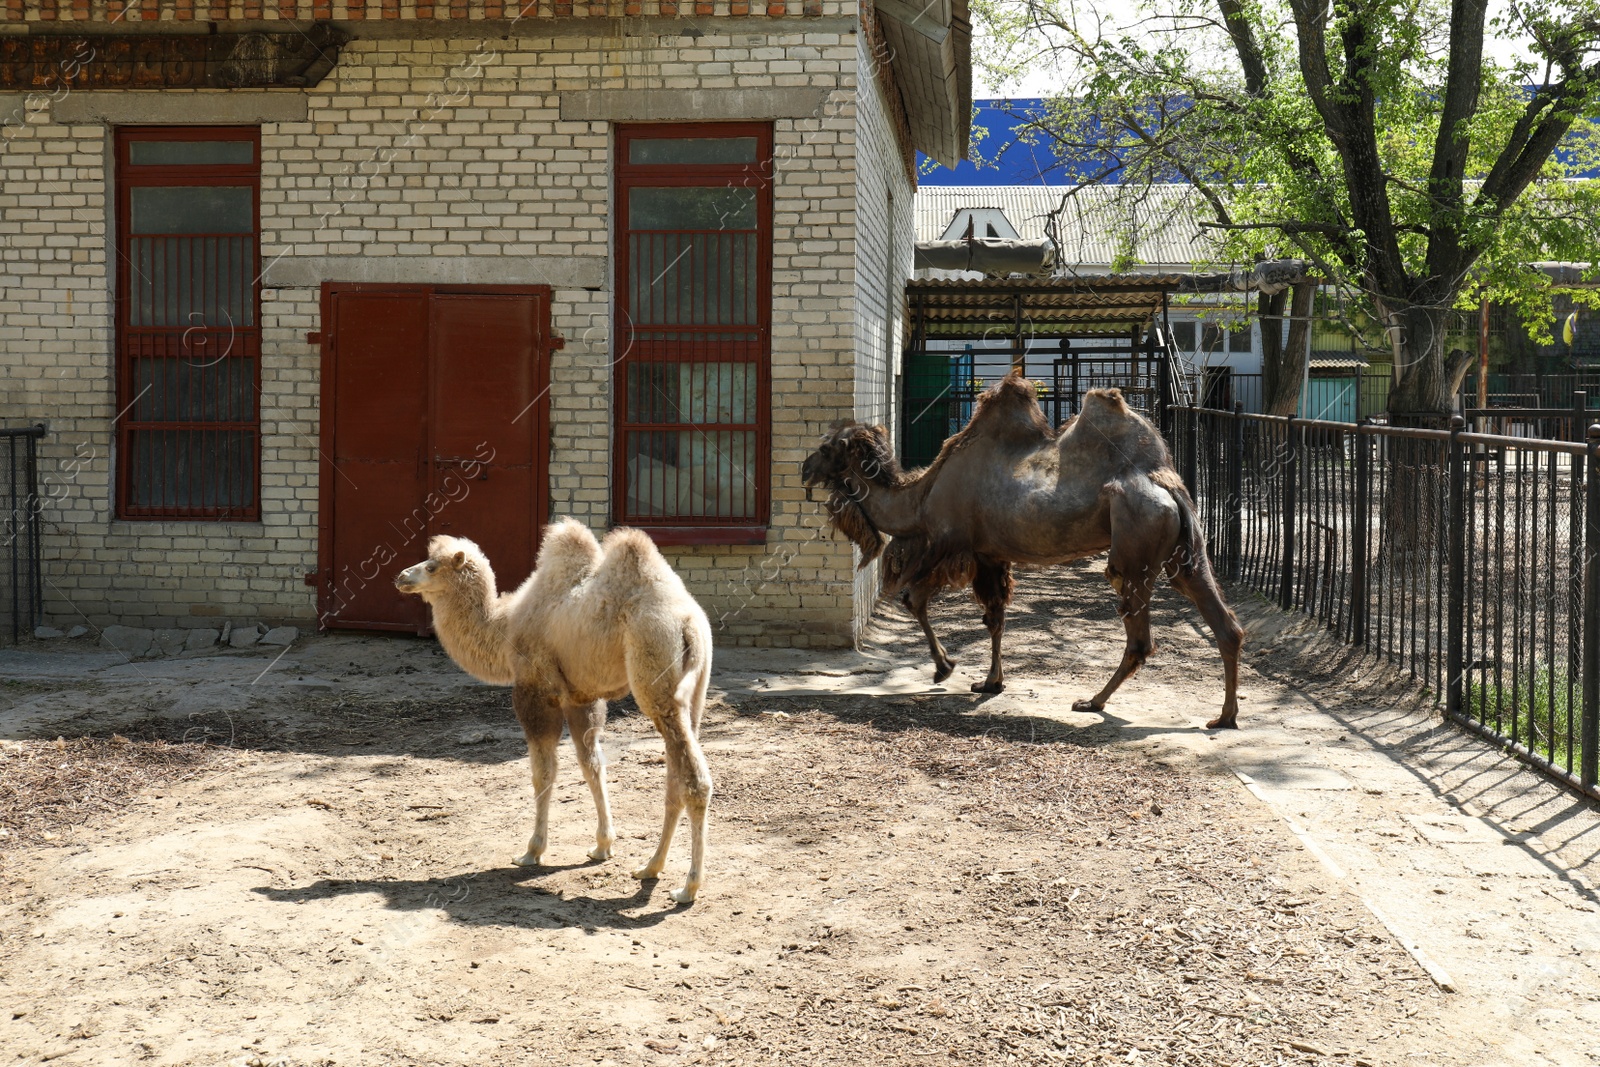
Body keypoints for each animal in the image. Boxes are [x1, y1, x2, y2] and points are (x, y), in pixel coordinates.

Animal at [393, 521, 713, 908]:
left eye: (432, 566)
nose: (401, 576)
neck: (505, 626)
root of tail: (689, 623)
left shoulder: (536, 688)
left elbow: (542, 773)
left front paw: (532, 852)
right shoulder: (581, 697)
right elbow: (592, 765)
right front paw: (602, 845)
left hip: (655, 676)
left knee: (694, 780)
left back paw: (688, 887)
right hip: (693, 694)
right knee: (675, 777)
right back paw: (650, 867)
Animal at [806, 375, 1241, 735]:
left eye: (826, 448)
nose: (804, 467)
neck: (921, 497)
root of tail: (1165, 482)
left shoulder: (947, 541)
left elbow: (913, 598)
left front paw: (945, 669)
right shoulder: (988, 555)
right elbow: (995, 618)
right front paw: (991, 682)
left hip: (1136, 543)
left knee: (1139, 636)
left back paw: (1092, 702)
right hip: (1184, 551)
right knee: (1223, 622)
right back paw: (1224, 716)